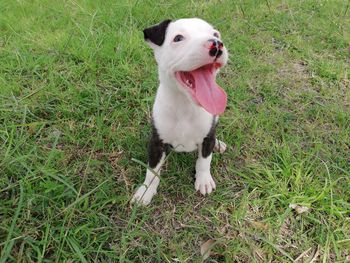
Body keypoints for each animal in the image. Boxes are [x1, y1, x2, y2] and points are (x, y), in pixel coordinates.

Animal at [133, 18, 228, 206]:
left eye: (216, 34)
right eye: (178, 38)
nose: (216, 43)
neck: (185, 105)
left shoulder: (207, 139)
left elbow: (204, 161)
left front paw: (203, 180)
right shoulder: (156, 143)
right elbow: (152, 171)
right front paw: (146, 190)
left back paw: (219, 144)